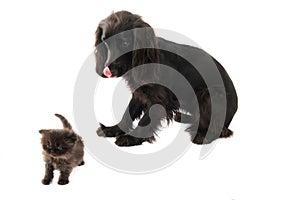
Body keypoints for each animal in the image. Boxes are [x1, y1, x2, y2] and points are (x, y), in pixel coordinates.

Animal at [95, 10, 238, 146]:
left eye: (125, 43)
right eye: (104, 42)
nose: (107, 71)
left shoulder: (159, 99)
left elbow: (145, 121)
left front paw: (130, 138)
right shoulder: (140, 92)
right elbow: (128, 113)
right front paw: (112, 129)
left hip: (211, 94)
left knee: (219, 128)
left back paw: (203, 135)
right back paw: (182, 117)